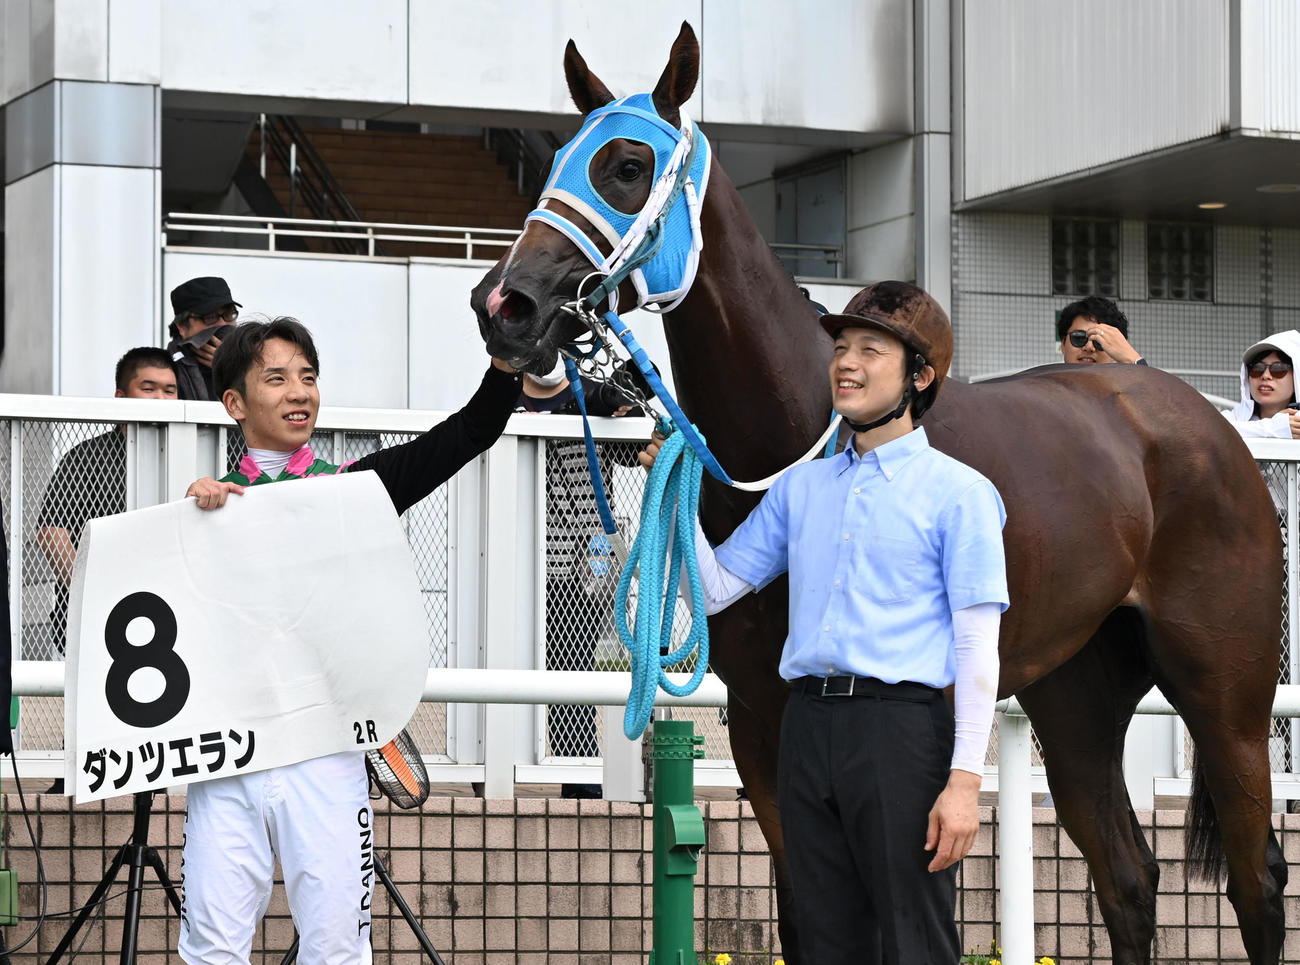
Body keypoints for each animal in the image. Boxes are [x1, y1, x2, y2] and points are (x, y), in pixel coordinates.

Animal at [470, 23, 1287, 965]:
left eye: (628, 165)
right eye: (558, 157)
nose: (504, 303)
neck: (808, 428)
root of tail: (1200, 421)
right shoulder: (762, 721)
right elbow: (806, 916)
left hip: (1227, 692)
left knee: (1256, 881)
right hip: (1078, 691)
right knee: (1128, 876)